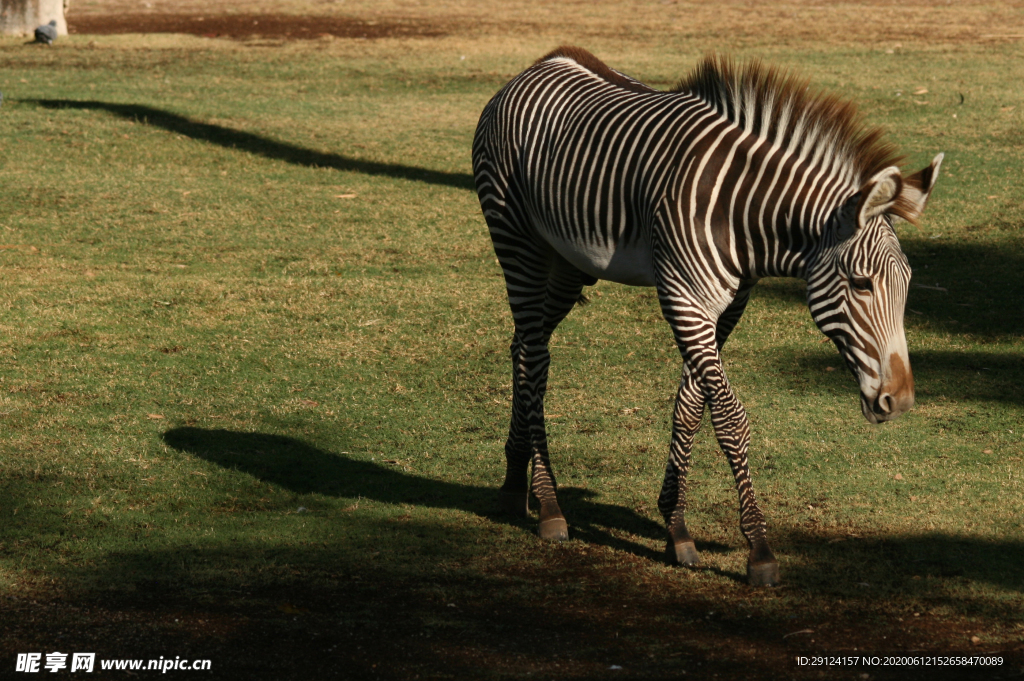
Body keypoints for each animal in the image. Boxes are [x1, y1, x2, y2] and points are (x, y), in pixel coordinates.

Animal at [471, 46, 942, 585]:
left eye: (907, 284)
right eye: (862, 284)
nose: (900, 401)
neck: (747, 217)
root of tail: (539, 65)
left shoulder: (726, 309)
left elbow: (691, 406)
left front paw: (675, 527)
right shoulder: (685, 299)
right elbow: (730, 417)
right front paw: (759, 549)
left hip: (568, 263)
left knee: (525, 349)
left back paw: (514, 479)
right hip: (516, 241)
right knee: (534, 355)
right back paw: (549, 506)